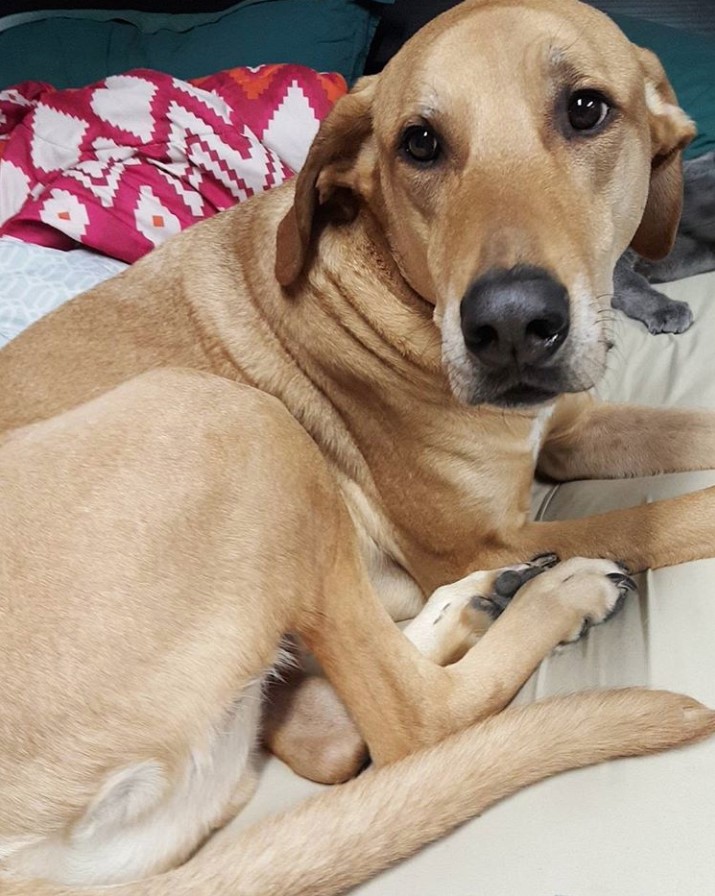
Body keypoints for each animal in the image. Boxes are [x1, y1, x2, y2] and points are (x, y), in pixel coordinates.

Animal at [1, 0, 715, 892]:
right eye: (419, 143)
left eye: (585, 109)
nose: (510, 326)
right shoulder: (482, 535)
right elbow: (671, 517)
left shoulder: (568, 432)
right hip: (237, 421)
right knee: (411, 725)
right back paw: (549, 595)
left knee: (333, 732)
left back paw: (477, 606)